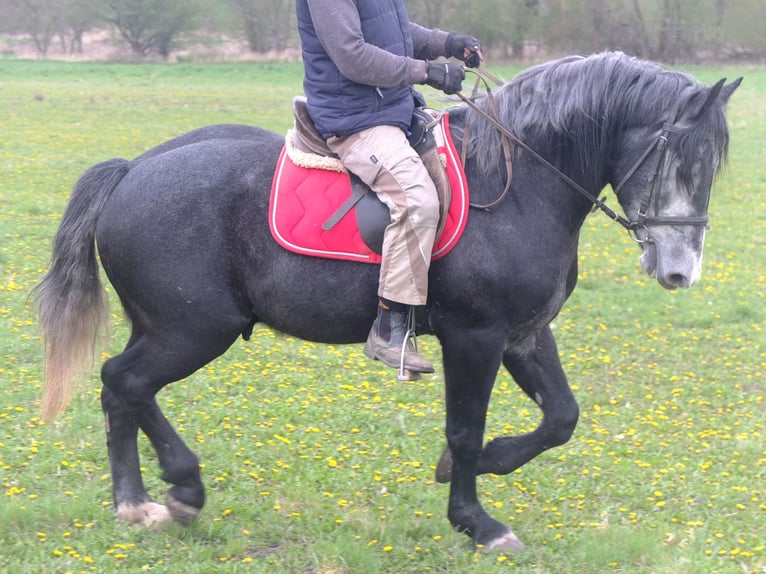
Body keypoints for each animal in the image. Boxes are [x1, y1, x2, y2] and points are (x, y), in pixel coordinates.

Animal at [34, 52, 740, 550]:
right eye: (677, 156)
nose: (680, 271)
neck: (517, 185)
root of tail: (133, 170)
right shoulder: (476, 338)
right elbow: (464, 429)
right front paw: (477, 521)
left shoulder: (524, 334)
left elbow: (561, 418)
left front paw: (480, 469)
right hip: (192, 331)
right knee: (125, 382)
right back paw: (182, 488)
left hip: (160, 327)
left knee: (120, 392)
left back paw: (135, 503)